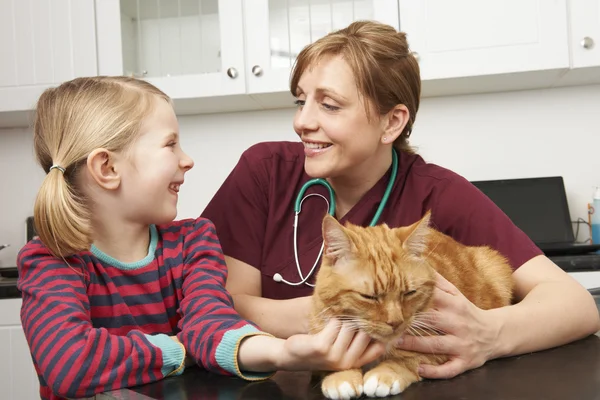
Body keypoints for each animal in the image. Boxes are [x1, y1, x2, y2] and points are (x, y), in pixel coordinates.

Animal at [310, 211, 510, 398]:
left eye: (409, 293)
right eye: (369, 297)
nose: (395, 322)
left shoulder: (440, 343)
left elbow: (408, 358)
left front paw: (385, 374)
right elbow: (333, 360)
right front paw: (341, 377)